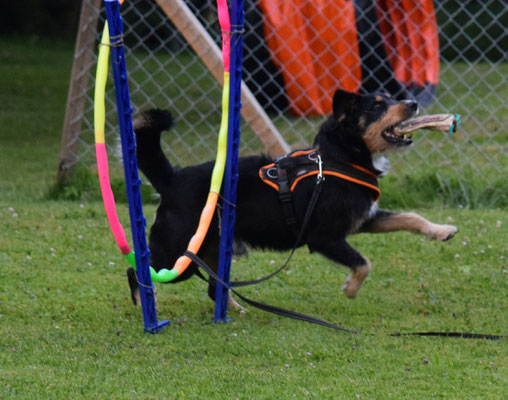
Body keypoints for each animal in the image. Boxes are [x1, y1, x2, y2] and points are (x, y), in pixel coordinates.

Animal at [126, 90, 456, 308]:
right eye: (377, 106)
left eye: (390, 97)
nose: (412, 103)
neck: (339, 157)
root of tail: (171, 179)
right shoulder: (324, 237)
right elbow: (364, 264)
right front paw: (350, 289)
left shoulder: (363, 219)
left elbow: (411, 217)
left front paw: (441, 231)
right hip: (177, 254)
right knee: (137, 270)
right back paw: (145, 304)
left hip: (211, 250)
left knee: (212, 287)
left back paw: (233, 309)